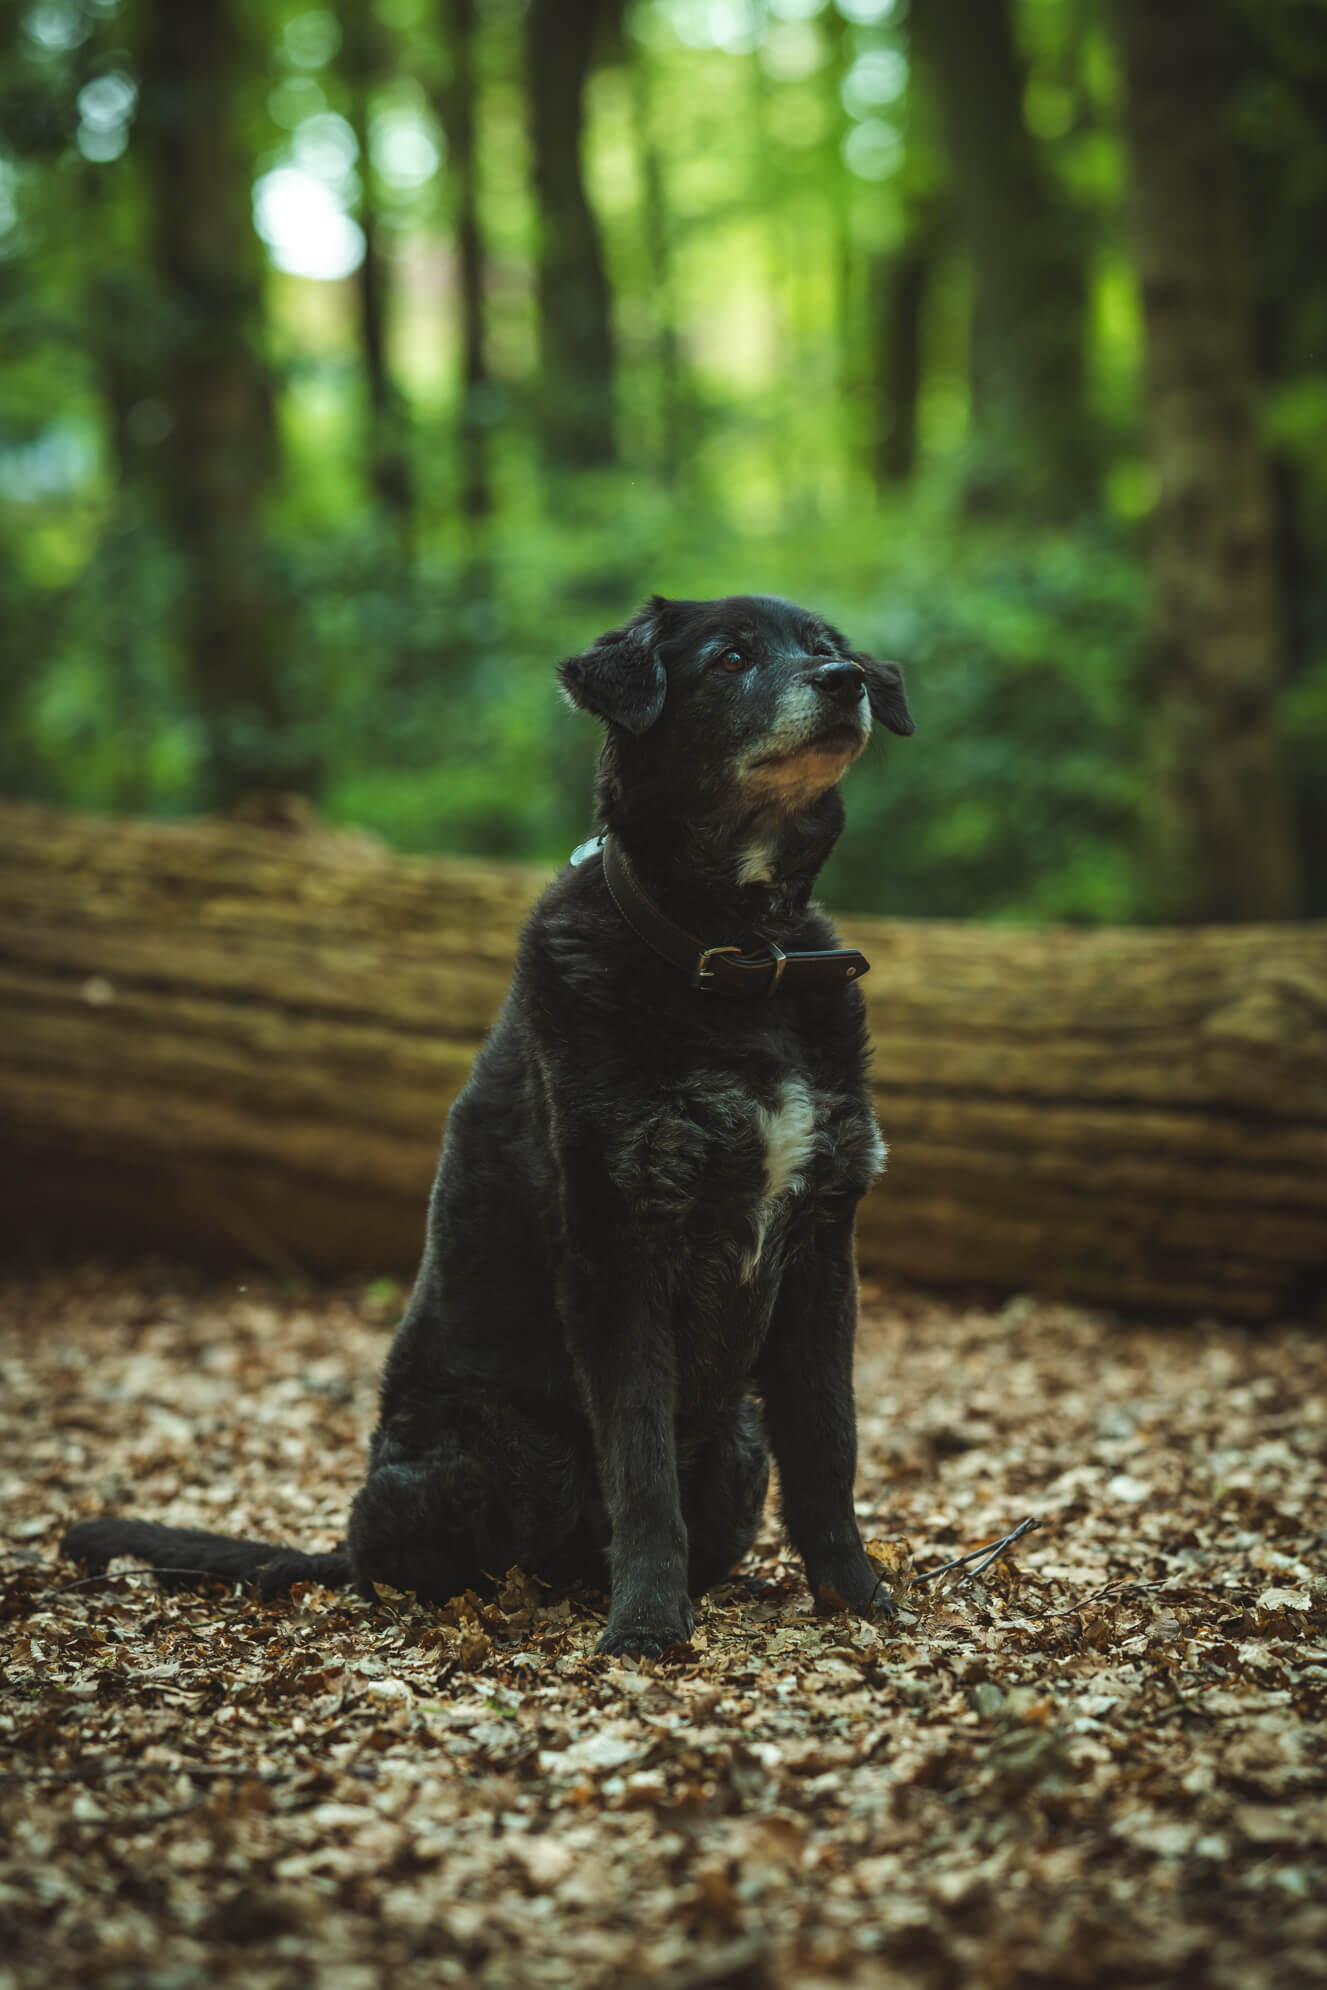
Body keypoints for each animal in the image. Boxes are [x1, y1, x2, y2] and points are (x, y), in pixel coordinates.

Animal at [62, 593, 915, 1663]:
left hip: (736, 1447)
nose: (843, 685)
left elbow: (831, 1445)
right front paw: (645, 1623)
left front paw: (856, 1596)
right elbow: (640, 1465)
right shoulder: (616, 1248)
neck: (735, 958)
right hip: (489, 1455)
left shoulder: (822, 1245)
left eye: (830, 651)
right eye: (730, 659)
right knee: (417, 1563)